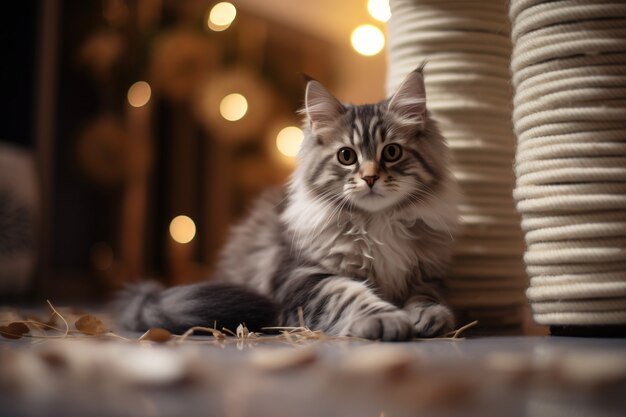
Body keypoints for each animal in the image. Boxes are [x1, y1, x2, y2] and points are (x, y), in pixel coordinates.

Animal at [118, 68, 458, 340]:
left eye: (391, 152)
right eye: (346, 156)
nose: (370, 178)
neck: (377, 222)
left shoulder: (428, 273)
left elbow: (427, 295)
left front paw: (429, 315)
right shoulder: (300, 276)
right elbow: (347, 294)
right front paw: (385, 318)